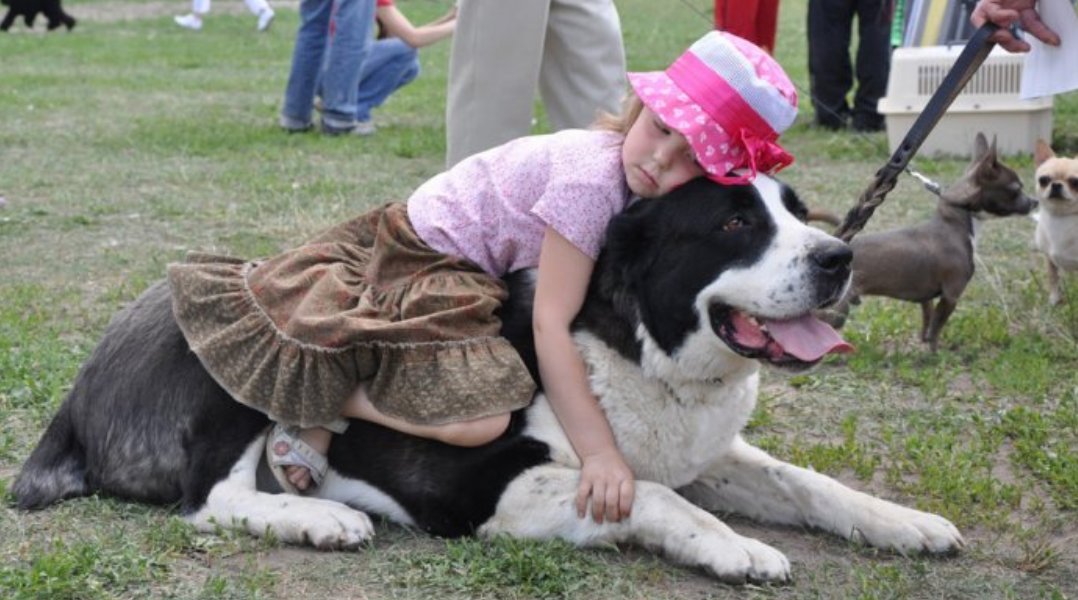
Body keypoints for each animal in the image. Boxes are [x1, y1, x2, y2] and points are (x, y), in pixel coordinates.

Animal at [14, 175, 961, 581]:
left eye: (797, 213)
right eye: (734, 223)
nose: (840, 258)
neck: (630, 341)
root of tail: (74, 401)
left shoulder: (702, 447)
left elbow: (803, 482)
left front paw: (905, 523)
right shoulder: (474, 486)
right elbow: (654, 497)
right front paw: (733, 546)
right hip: (232, 360)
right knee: (209, 500)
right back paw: (319, 516)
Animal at [823, 134, 1034, 351]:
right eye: (1016, 189)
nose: (1034, 202)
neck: (956, 219)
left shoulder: (926, 298)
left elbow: (927, 321)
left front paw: (923, 344)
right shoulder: (951, 296)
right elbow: (936, 329)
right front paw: (934, 352)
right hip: (836, 311)